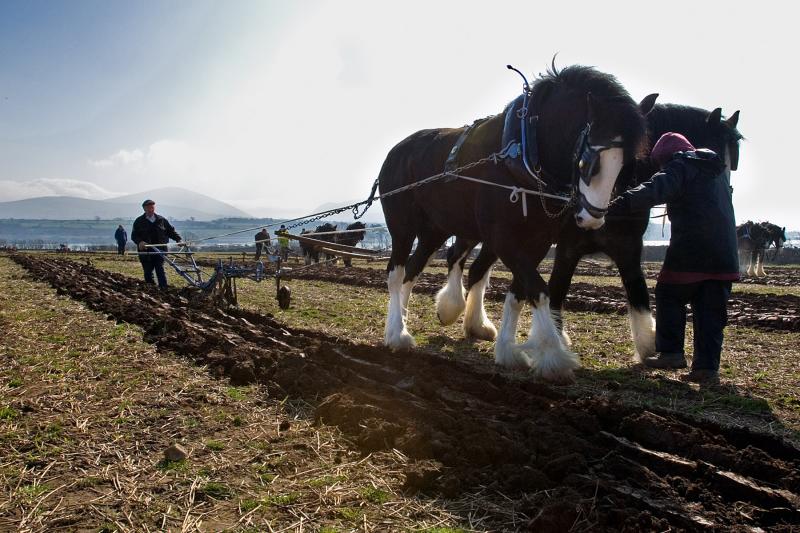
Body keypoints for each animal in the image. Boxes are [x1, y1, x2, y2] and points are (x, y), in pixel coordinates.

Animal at [380, 64, 648, 380]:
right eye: (587, 163)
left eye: (625, 166)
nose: (591, 218)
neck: (525, 153)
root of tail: (397, 149)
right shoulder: (503, 239)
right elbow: (539, 290)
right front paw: (554, 354)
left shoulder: (538, 242)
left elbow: (520, 293)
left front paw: (508, 350)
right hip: (402, 227)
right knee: (396, 273)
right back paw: (398, 333)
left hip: (435, 230)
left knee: (414, 270)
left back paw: (416, 320)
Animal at [440, 103, 740, 362]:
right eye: (713, 146)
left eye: (732, 158)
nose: (726, 193)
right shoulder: (567, 249)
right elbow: (558, 289)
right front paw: (556, 340)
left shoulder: (628, 248)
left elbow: (638, 293)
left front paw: (647, 345)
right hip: (480, 231)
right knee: (456, 256)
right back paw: (451, 307)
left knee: (477, 269)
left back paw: (476, 325)